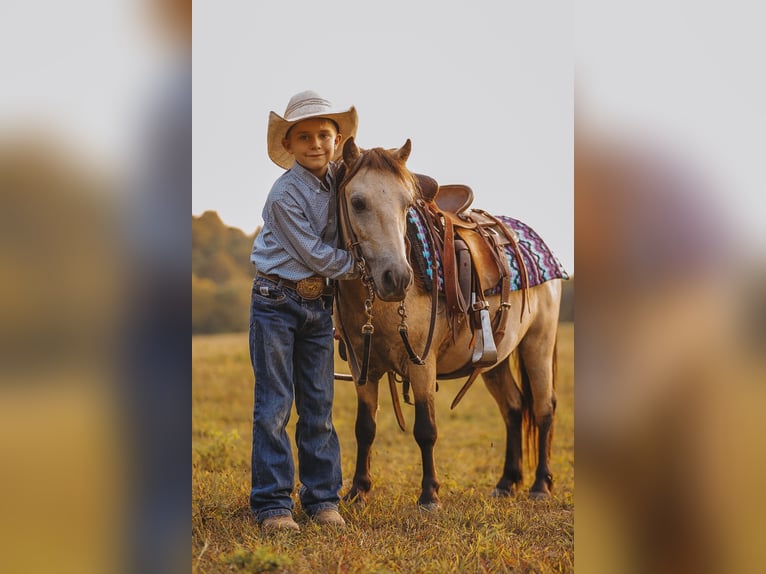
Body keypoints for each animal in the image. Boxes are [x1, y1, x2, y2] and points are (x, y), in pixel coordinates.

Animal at [334, 137, 564, 510]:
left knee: (544, 408)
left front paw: (429, 494)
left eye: (406, 204)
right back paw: (506, 481)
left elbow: (426, 429)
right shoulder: (362, 368)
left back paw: (540, 484)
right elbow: (364, 427)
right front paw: (357, 490)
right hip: (495, 359)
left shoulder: (422, 364)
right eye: (357, 202)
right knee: (514, 407)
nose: (397, 278)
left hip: (538, 343)